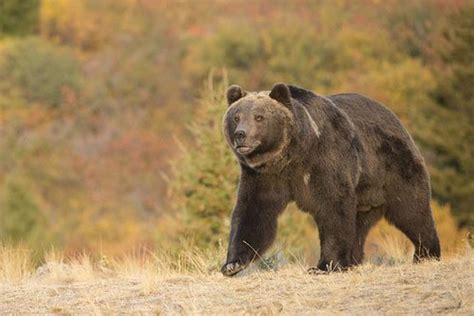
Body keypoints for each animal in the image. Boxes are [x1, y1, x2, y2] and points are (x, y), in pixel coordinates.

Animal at [221, 82, 440, 276]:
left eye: (259, 117)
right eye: (236, 117)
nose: (241, 135)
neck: (292, 155)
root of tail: (394, 117)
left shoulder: (325, 159)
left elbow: (333, 207)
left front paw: (325, 265)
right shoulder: (263, 177)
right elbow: (252, 213)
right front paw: (232, 265)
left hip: (392, 168)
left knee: (412, 209)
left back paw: (426, 253)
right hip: (364, 198)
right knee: (359, 225)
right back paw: (352, 260)